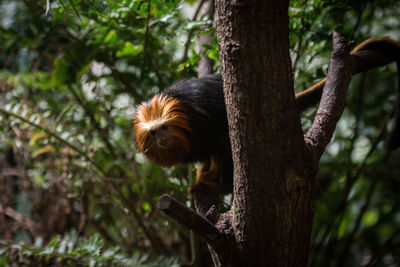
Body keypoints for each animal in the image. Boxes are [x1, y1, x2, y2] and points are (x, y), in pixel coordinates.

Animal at [134, 37, 400, 195]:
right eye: (153, 132)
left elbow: (225, 140)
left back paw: (221, 186)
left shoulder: (206, 121)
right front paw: (205, 171)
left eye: (164, 128)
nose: (161, 140)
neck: (186, 122)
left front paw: (213, 180)